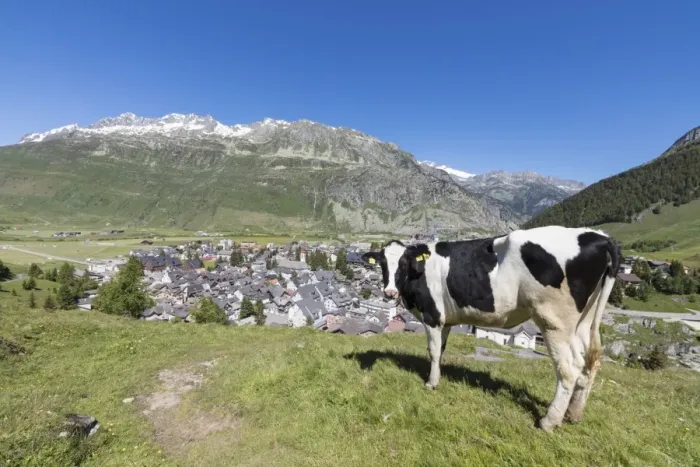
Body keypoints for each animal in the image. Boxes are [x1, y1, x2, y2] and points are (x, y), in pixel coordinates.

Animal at [362, 225, 621, 431]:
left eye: (404, 263)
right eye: (382, 264)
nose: (389, 292)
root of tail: (601, 237)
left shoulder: (433, 316)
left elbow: (433, 351)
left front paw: (431, 383)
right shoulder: (447, 320)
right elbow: (441, 350)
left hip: (554, 321)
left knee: (569, 368)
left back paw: (549, 421)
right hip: (584, 321)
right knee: (590, 361)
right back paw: (574, 413)